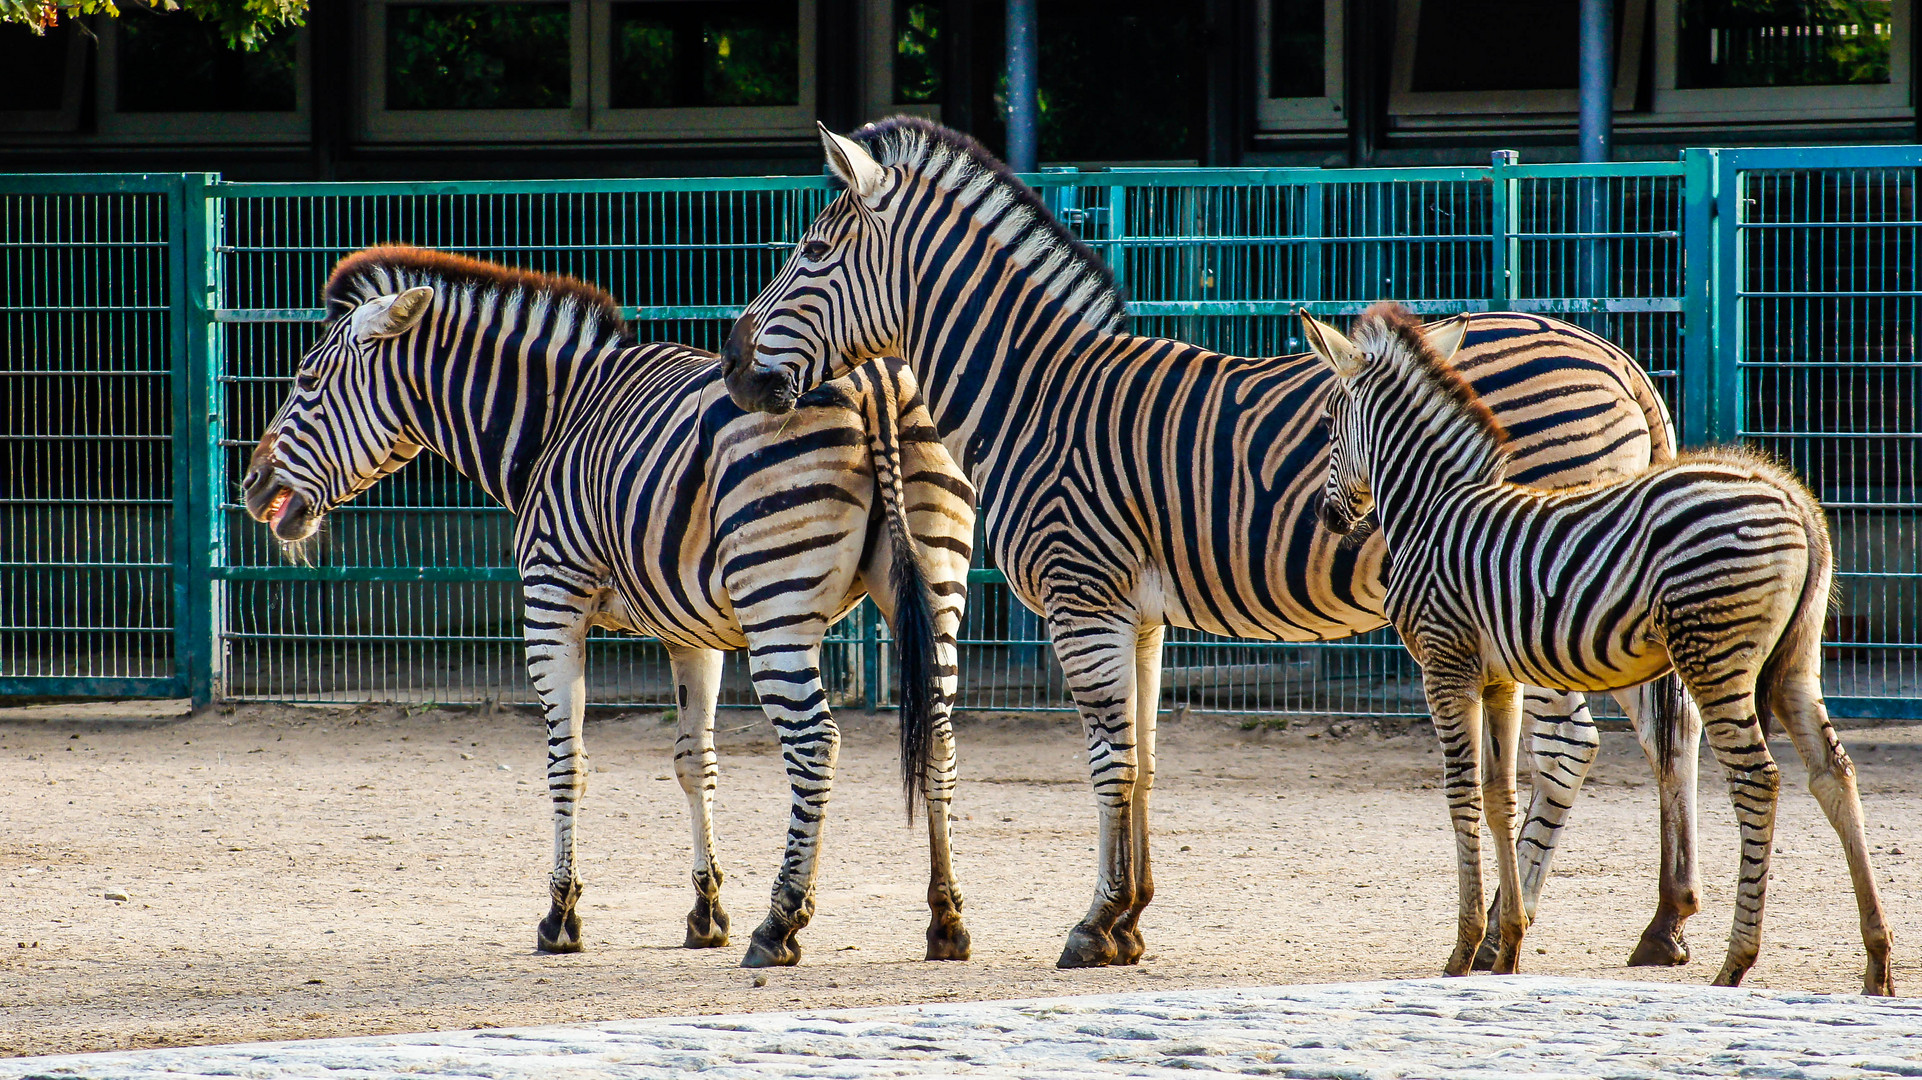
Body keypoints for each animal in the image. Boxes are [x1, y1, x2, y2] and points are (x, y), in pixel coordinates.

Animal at [242, 245, 984, 968]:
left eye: (305, 379)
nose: (250, 486)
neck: (556, 421)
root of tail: (873, 381)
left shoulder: (551, 602)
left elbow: (566, 763)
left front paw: (561, 916)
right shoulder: (692, 633)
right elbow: (694, 762)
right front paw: (705, 912)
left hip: (778, 607)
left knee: (815, 745)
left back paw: (781, 923)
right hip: (937, 590)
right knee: (940, 735)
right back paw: (945, 918)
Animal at [722, 115, 1714, 968]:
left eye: (812, 254)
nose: (731, 367)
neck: (1038, 396)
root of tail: (1616, 359)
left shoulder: (1081, 601)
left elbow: (1109, 760)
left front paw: (1094, 924)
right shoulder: (1138, 615)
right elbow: (1145, 761)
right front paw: (1129, 918)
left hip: (1534, 590)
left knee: (1573, 745)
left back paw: (1519, 918)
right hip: (1602, 595)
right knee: (1672, 730)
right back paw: (1663, 924)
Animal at [1306, 299, 1891, 991]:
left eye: (1327, 421)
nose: (1327, 517)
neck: (1434, 507)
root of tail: (1791, 496)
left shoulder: (1446, 665)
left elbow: (1462, 793)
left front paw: (1464, 948)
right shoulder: (1500, 678)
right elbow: (1501, 796)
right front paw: (1507, 946)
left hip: (1713, 654)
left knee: (1757, 778)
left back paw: (1735, 963)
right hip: (1796, 661)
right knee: (1834, 773)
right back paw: (1876, 961)